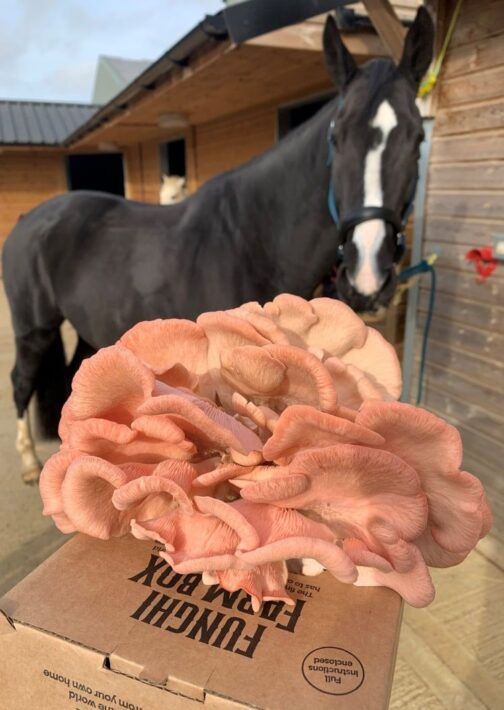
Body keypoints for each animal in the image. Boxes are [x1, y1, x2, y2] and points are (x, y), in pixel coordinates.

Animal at [1, 8, 434, 482]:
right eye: (338, 138)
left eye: (417, 138)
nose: (367, 276)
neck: (252, 239)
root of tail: (30, 220)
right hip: (34, 329)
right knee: (21, 381)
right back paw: (29, 463)